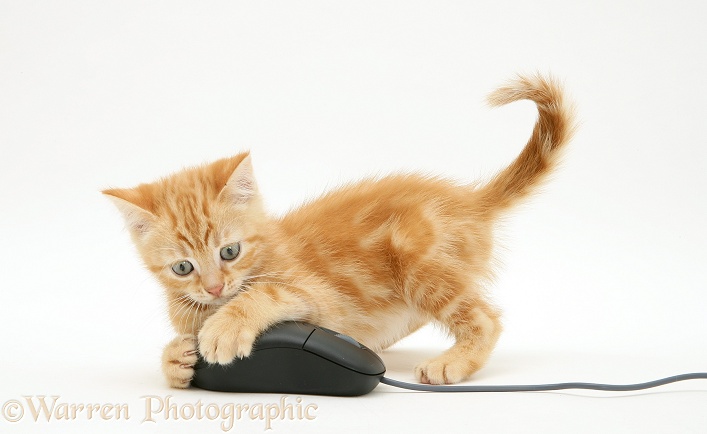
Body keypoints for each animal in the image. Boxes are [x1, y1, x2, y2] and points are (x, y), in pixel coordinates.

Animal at [102, 73, 572, 386]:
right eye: (183, 268)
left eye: (229, 252)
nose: (215, 288)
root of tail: (471, 202)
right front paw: (175, 359)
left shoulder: (320, 298)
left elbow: (266, 293)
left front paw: (225, 327)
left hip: (414, 258)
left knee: (485, 319)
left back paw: (451, 362)